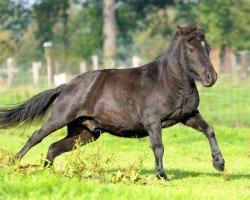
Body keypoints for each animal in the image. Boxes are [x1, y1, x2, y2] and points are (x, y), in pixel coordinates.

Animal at [0, 25, 225, 181]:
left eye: (208, 47)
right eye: (191, 49)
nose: (211, 77)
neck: (167, 81)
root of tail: (66, 86)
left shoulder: (188, 116)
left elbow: (209, 130)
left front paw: (219, 163)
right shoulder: (153, 122)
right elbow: (158, 147)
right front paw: (162, 175)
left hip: (86, 132)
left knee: (54, 147)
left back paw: (47, 172)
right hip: (60, 118)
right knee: (36, 136)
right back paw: (14, 163)